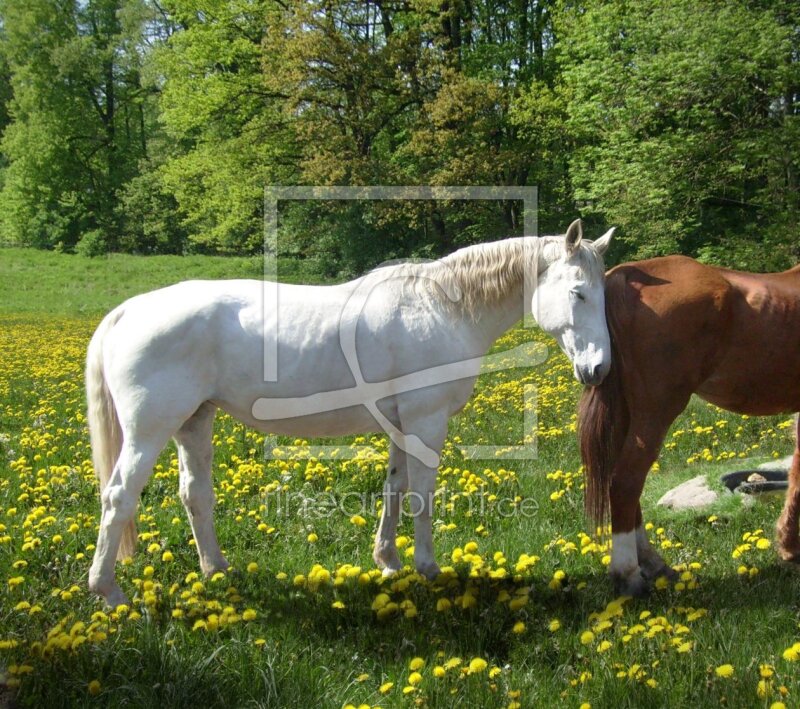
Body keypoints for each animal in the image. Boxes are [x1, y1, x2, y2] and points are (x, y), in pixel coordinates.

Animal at [86, 218, 612, 604]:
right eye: (578, 292)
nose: (599, 368)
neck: (442, 307)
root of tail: (128, 311)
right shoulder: (426, 421)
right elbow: (421, 495)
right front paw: (427, 568)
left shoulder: (401, 425)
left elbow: (395, 490)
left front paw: (388, 562)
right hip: (148, 433)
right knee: (118, 499)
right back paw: (108, 592)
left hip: (193, 422)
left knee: (195, 495)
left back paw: (217, 571)